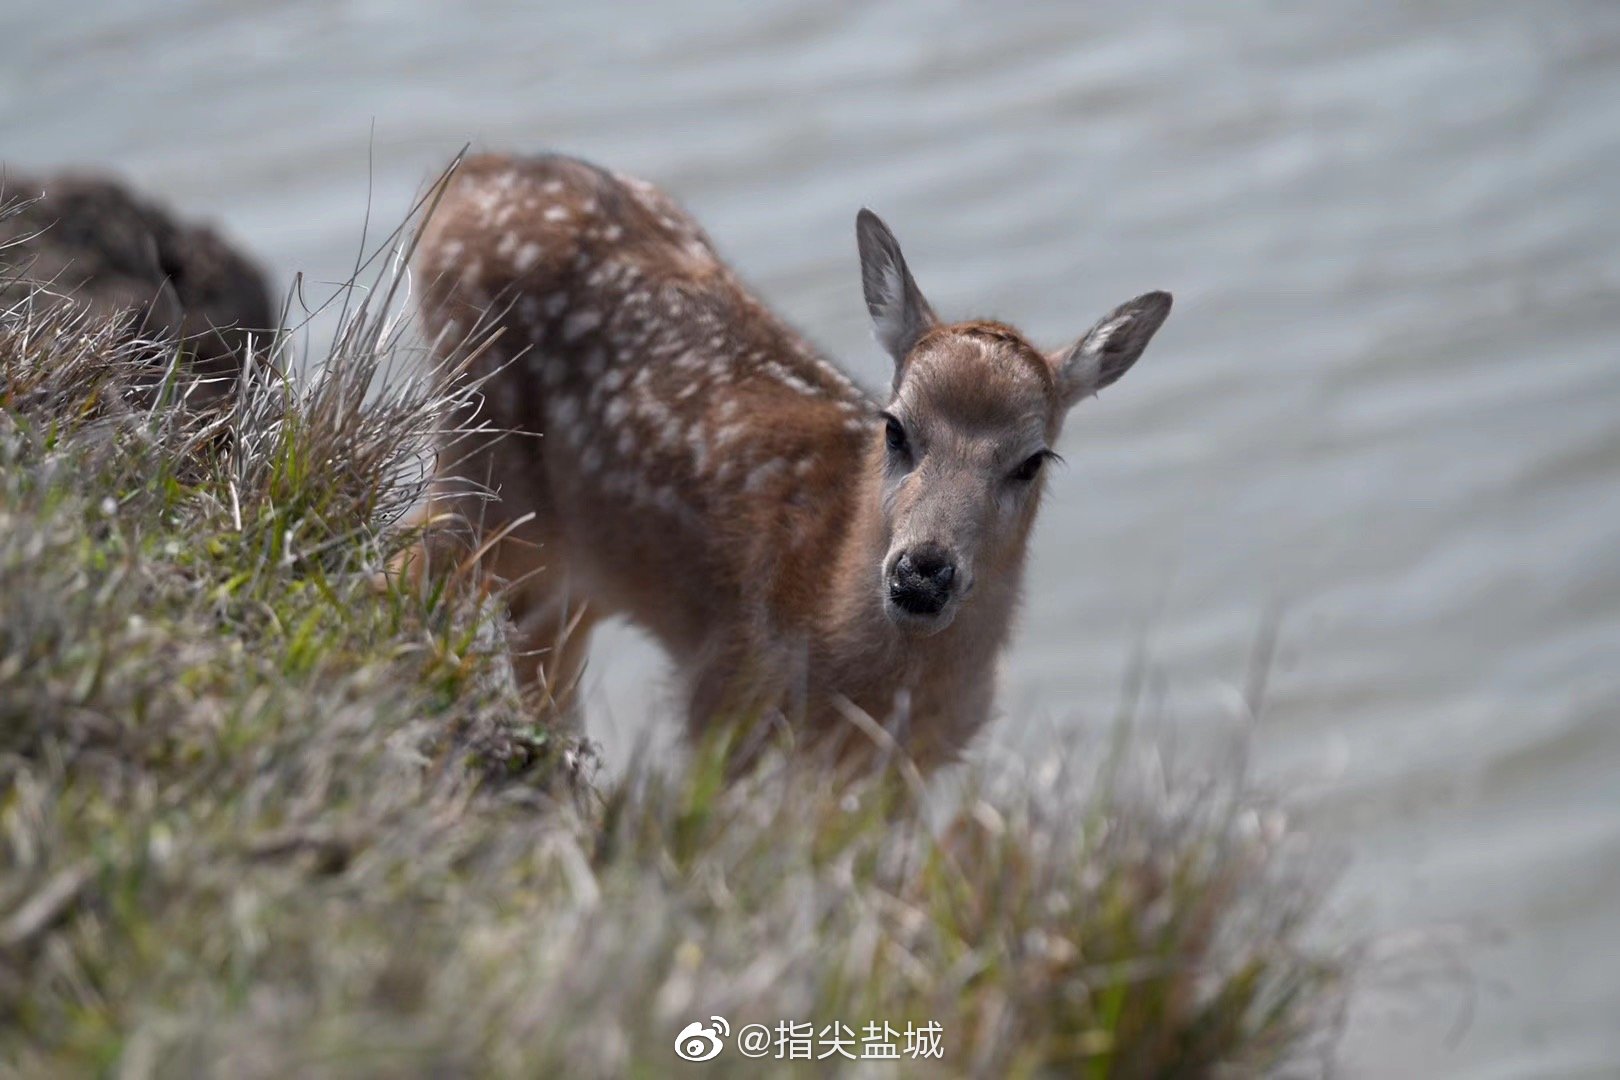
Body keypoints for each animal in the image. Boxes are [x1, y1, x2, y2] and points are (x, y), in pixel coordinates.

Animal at [408, 156, 1166, 773]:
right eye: (895, 428)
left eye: (1032, 461)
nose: (921, 575)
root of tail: (472, 174)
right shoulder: (724, 691)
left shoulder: (912, 765)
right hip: (484, 467)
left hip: (569, 566)